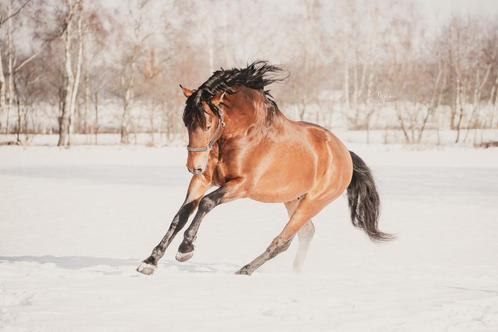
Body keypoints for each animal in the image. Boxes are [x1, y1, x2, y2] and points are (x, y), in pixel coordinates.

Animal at [137, 61, 392, 276]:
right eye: (186, 122)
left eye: (207, 124)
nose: (194, 167)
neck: (242, 135)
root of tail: (344, 154)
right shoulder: (203, 181)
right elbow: (180, 216)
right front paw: (150, 262)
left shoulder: (242, 186)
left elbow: (207, 203)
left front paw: (186, 249)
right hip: (292, 198)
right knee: (306, 232)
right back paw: (294, 272)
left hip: (312, 202)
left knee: (284, 240)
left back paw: (246, 270)